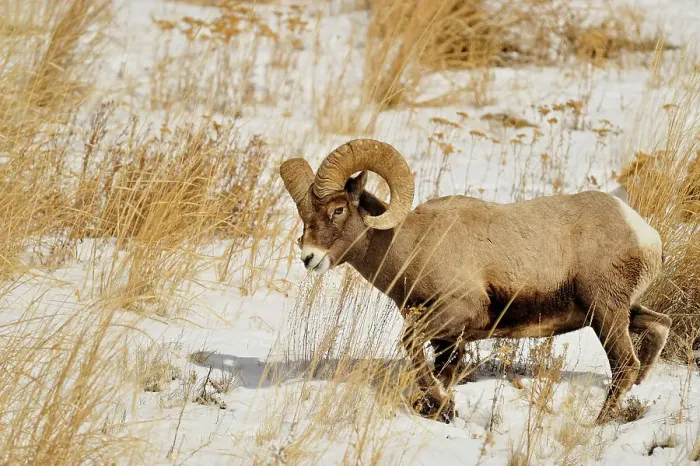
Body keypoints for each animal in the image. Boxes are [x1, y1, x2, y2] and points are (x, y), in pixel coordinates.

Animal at [279, 138, 671, 424]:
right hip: (615, 311)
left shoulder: (456, 313)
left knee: (625, 364)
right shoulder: (447, 339)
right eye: (304, 215)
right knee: (659, 326)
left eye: (338, 210)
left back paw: (598, 423)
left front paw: (444, 408)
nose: (309, 258)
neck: (412, 244)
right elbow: (442, 370)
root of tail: (644, 233)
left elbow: (411, 345)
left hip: (605, 312)